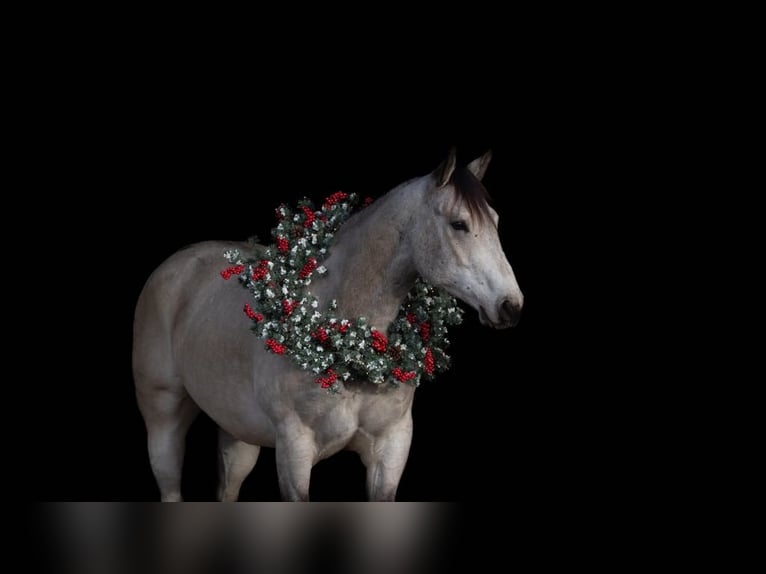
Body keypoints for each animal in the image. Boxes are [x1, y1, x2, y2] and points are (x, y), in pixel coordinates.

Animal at [133, 149, 523, 501]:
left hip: (237, 431)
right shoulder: (294, 450)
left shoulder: (392, 447)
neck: (346, 341)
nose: (511, 305)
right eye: (459, 224)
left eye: (495, 220)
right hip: (164, 419)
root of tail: (173, 266)